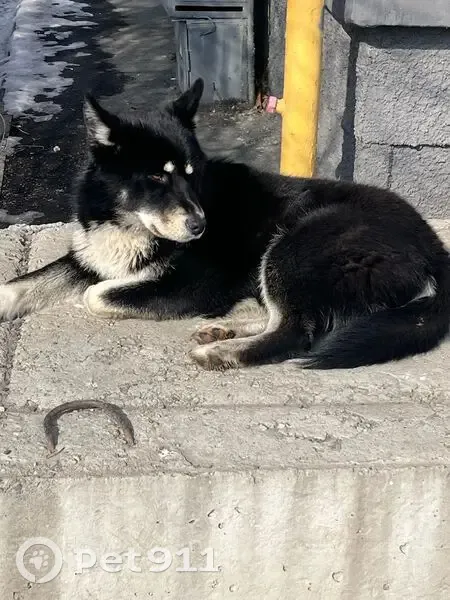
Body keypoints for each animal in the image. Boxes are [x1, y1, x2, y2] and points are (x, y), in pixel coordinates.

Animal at [0, 78, 449, 370]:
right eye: (157, 177)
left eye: (192, 173)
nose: (200, 227)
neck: (129, 223)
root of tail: (434, 247)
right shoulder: (89, 254)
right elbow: (29, 283)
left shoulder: (191, 285)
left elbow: (97, 294)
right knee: (289, 317)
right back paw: (225, 331)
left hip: (295, 247)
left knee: (296, 330)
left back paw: (221, 353)